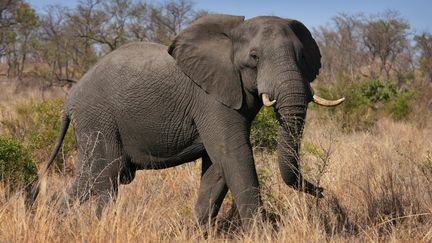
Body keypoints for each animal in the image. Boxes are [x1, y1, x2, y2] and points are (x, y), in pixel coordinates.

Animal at [26, 14, 344, 228]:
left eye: (302, 56)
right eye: (254, 57)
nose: (321, 191)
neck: (232, 33)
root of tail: (69, 100)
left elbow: (217, 167)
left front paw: (196, 231)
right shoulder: (211, 97)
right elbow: (234, 155)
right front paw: (262, 233)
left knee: (89, 177)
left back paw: (54, 221)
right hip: (99, 118)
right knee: (107, 175)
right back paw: (97, 225)